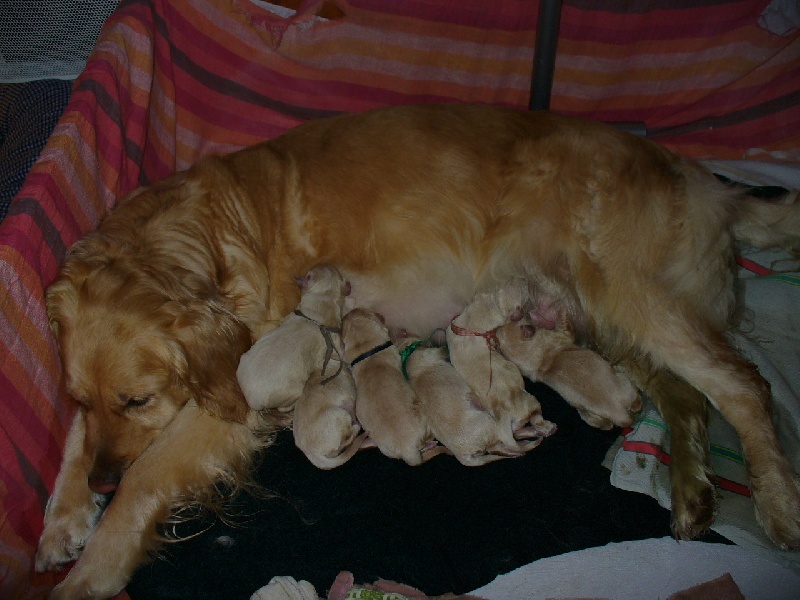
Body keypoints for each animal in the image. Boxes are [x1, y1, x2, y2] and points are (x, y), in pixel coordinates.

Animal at [238, 268, 350, 412]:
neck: (324, 294)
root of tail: (251, 401)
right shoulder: (335, 341)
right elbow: (341, 350)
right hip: (293, 392)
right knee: (283, 408)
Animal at [444, 278, 556, 452]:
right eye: (523, 293)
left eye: (509, 281)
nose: (525, 279)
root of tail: (504, 414)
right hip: (532, 402)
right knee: (537, 419)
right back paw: (548, 428)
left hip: (512, 427)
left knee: (517, 433)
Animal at [496, 318, 640, 432]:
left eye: (504, 324)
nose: (495, 329)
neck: (541, 356)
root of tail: (620, 414)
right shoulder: (564, 334)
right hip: (624, 382)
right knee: (635, 404)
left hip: (589, 414)